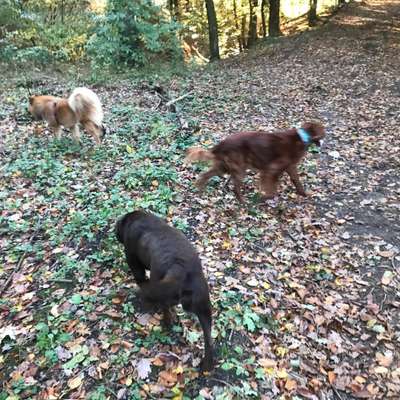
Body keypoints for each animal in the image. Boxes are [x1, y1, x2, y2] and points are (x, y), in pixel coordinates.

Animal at [115, 211, 214, 370]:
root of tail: (181, 270)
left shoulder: (133, 261)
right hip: (204, 307)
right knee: (209, 340)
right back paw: (207, 365)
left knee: (166, 312)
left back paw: (165, 323)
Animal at [186, 121, 326, 203]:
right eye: (323, 131)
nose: (326, 136)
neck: (302, 138)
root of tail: (220, 145)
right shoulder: (270, 170)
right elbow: (271, 190)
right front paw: (263, 197)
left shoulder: (290, 167)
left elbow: (296, 181)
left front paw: (303, 193)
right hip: (239, 169)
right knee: (235, 189)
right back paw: (244, 202)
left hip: (224, 167)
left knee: (204, 175)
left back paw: (199, 190)